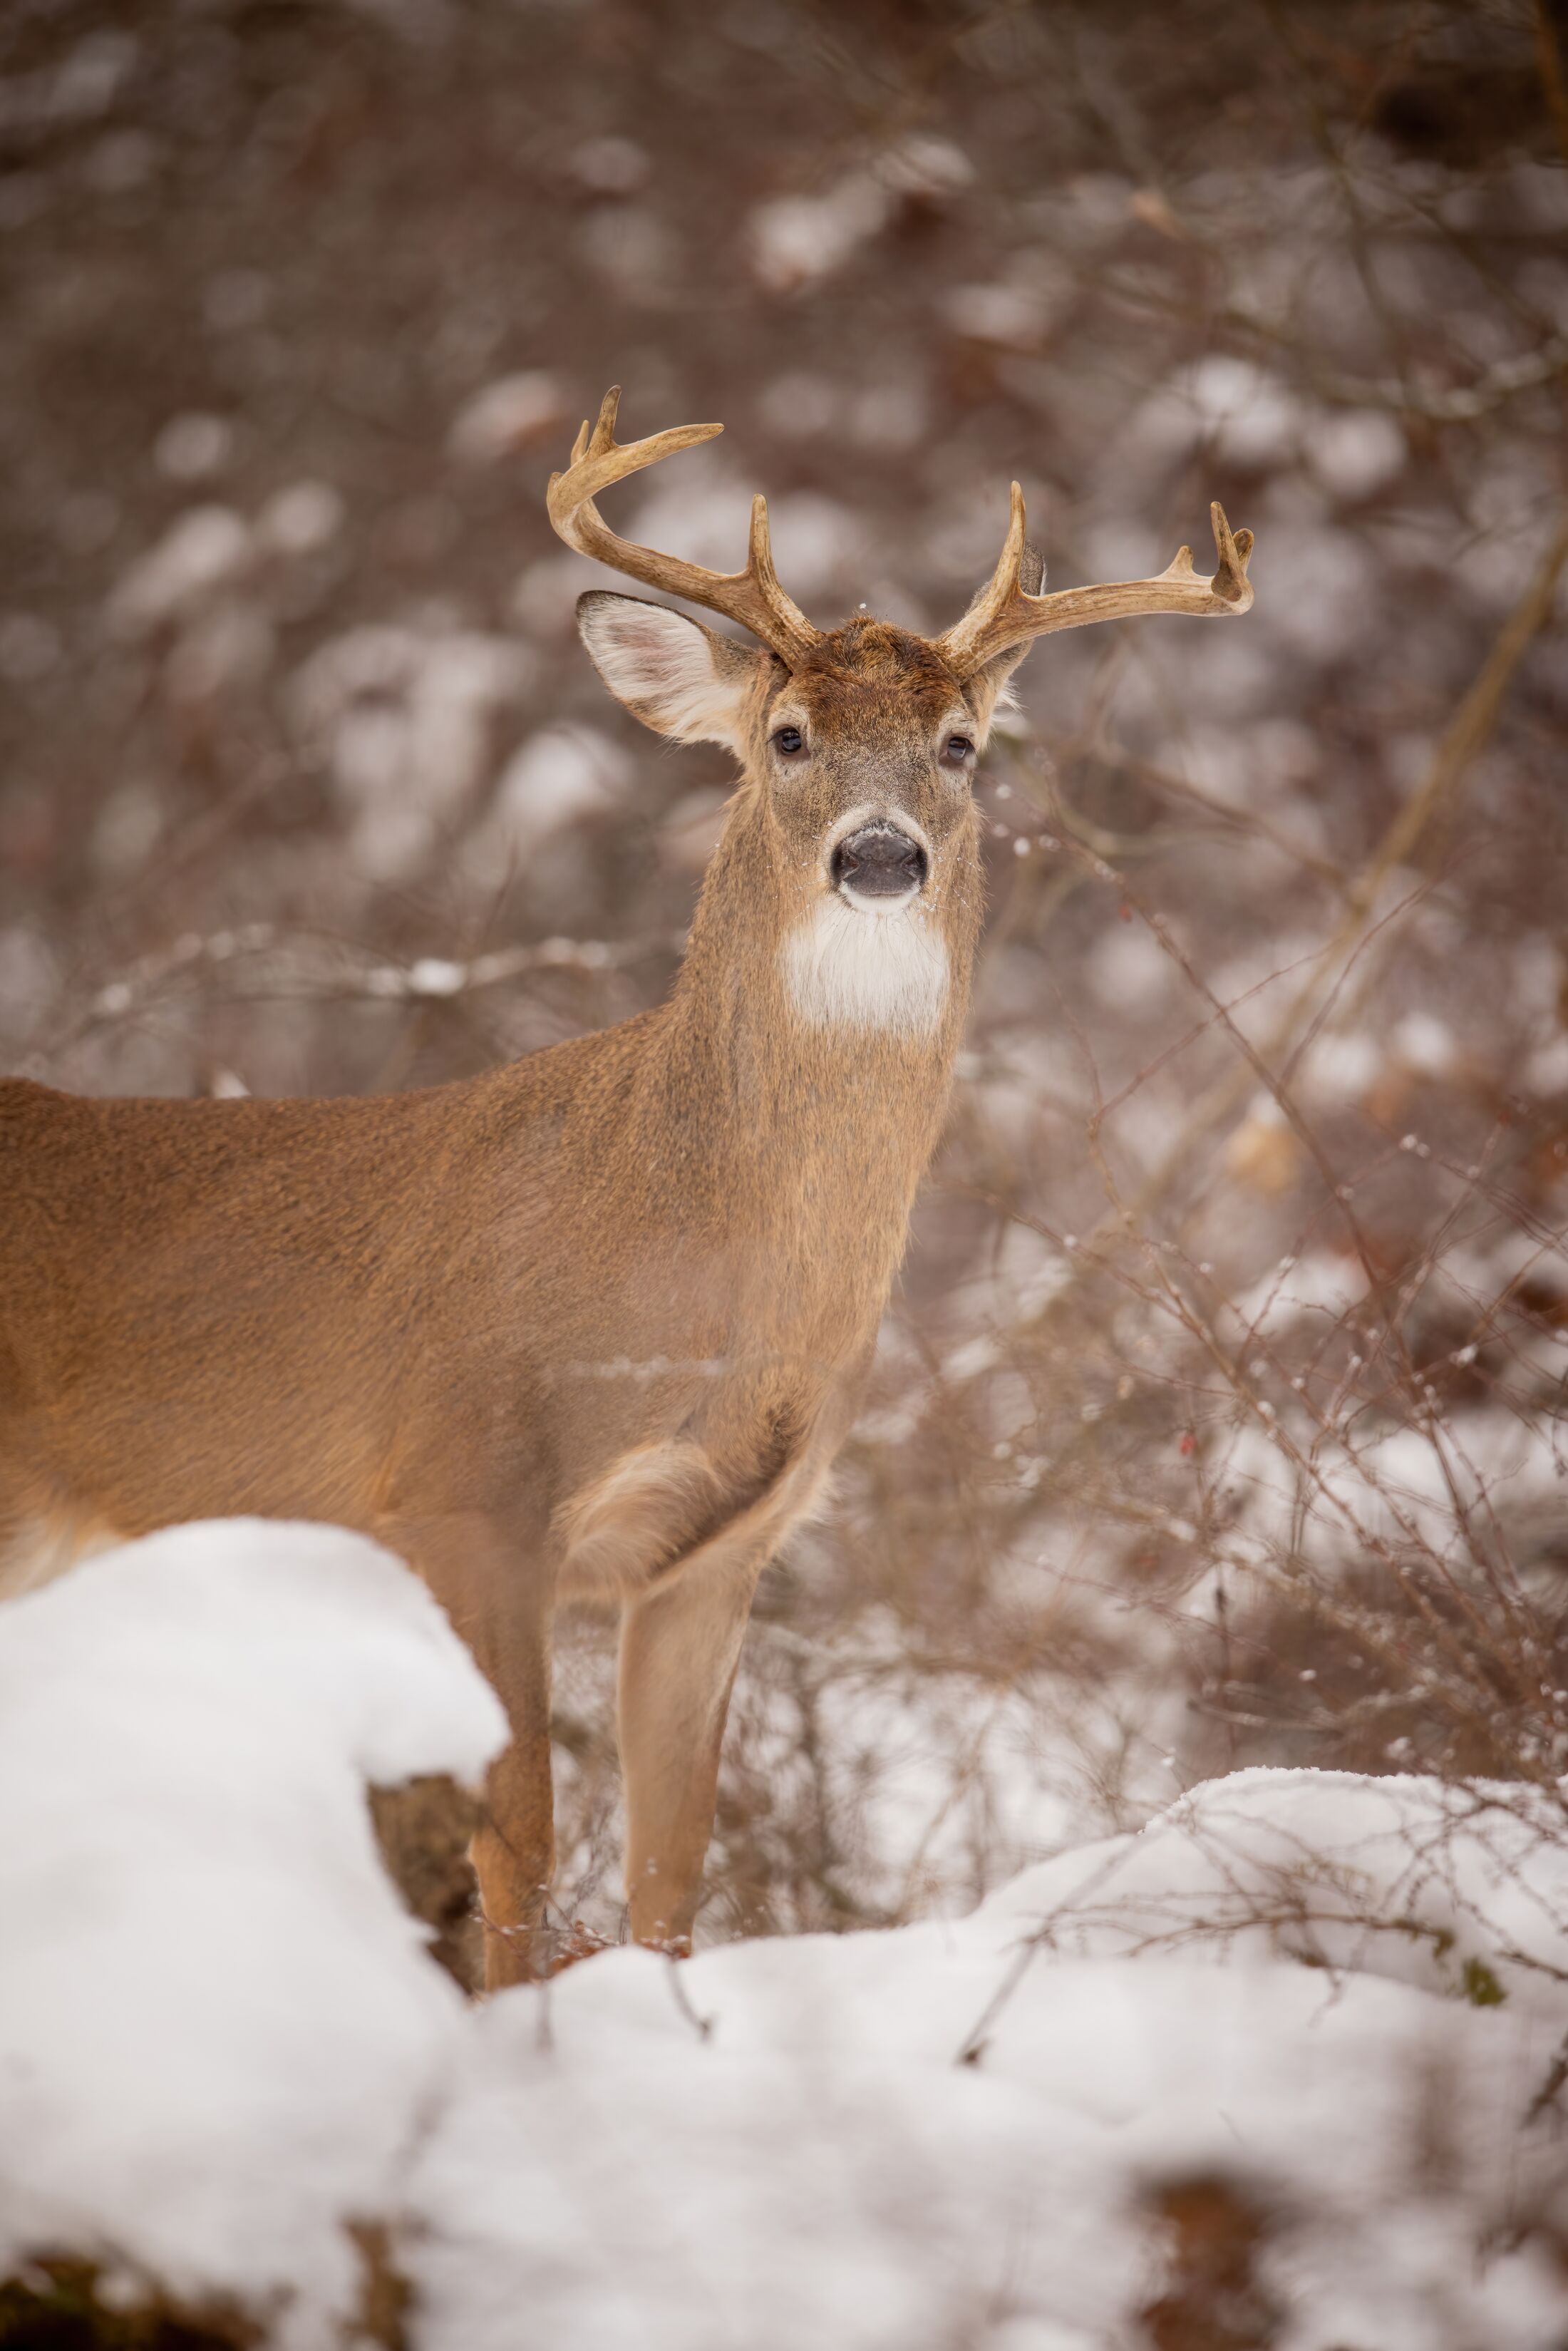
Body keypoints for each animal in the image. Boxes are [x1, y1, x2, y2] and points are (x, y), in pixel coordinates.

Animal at [0, 389, 1254, 1986]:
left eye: (962, 744)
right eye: (786, 735)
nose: (881, 854)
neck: (698, 1263)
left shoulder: (719, 1550)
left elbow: (670, 1870)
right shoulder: (464, 1493)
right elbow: (518, 1851)